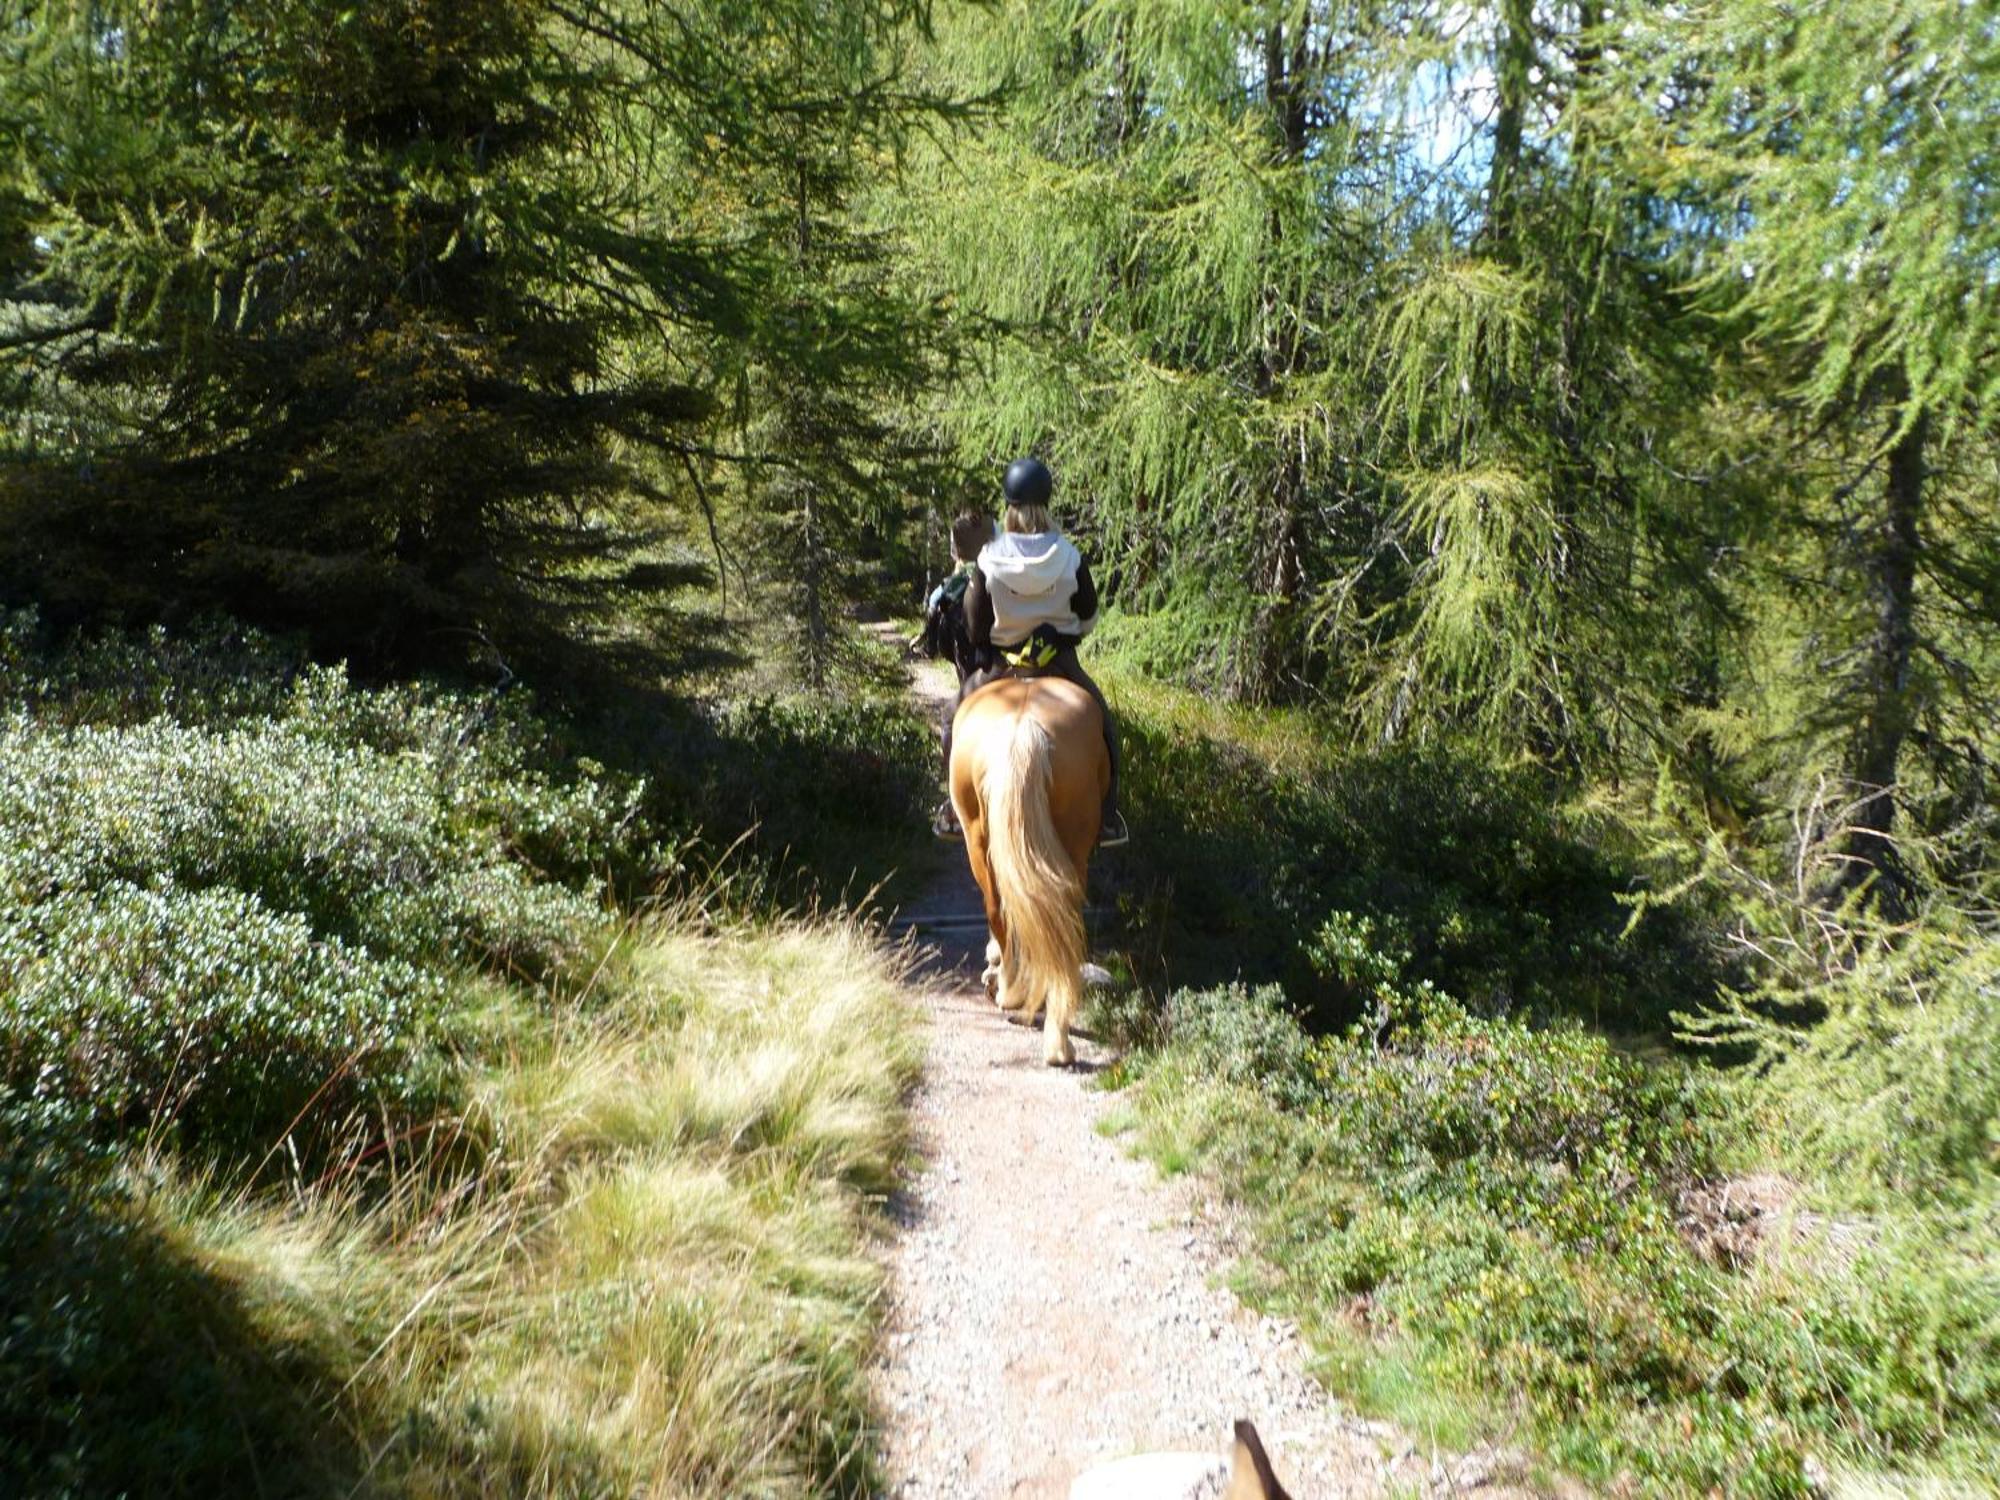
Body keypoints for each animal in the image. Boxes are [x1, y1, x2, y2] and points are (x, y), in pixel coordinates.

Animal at [940, 668, 1104, 1072]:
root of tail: (1023, 729)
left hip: (977, 838)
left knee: (1001, 909)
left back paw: (1012, 995)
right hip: (1071, 842)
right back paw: (1056, 1040)